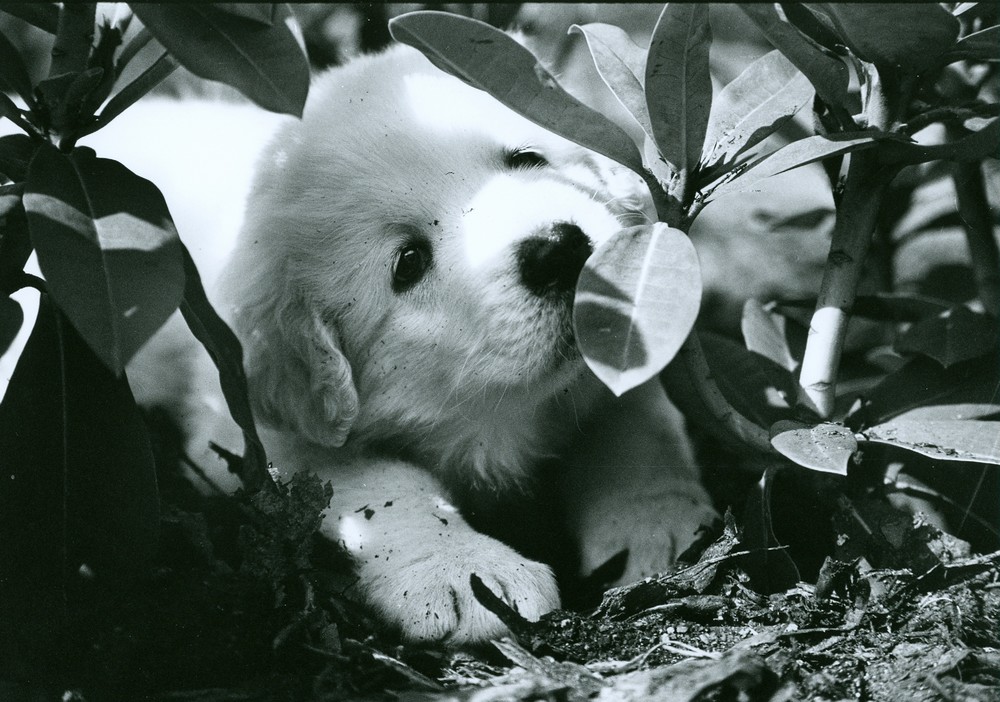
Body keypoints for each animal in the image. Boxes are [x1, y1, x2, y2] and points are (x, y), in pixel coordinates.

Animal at [158, 44, 720, 648]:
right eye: (408, 262)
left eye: (528, 159)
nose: (559, 250)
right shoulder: (253, 443)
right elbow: (385, 484)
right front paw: (465, 567)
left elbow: (638, 433)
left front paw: (659, 522)